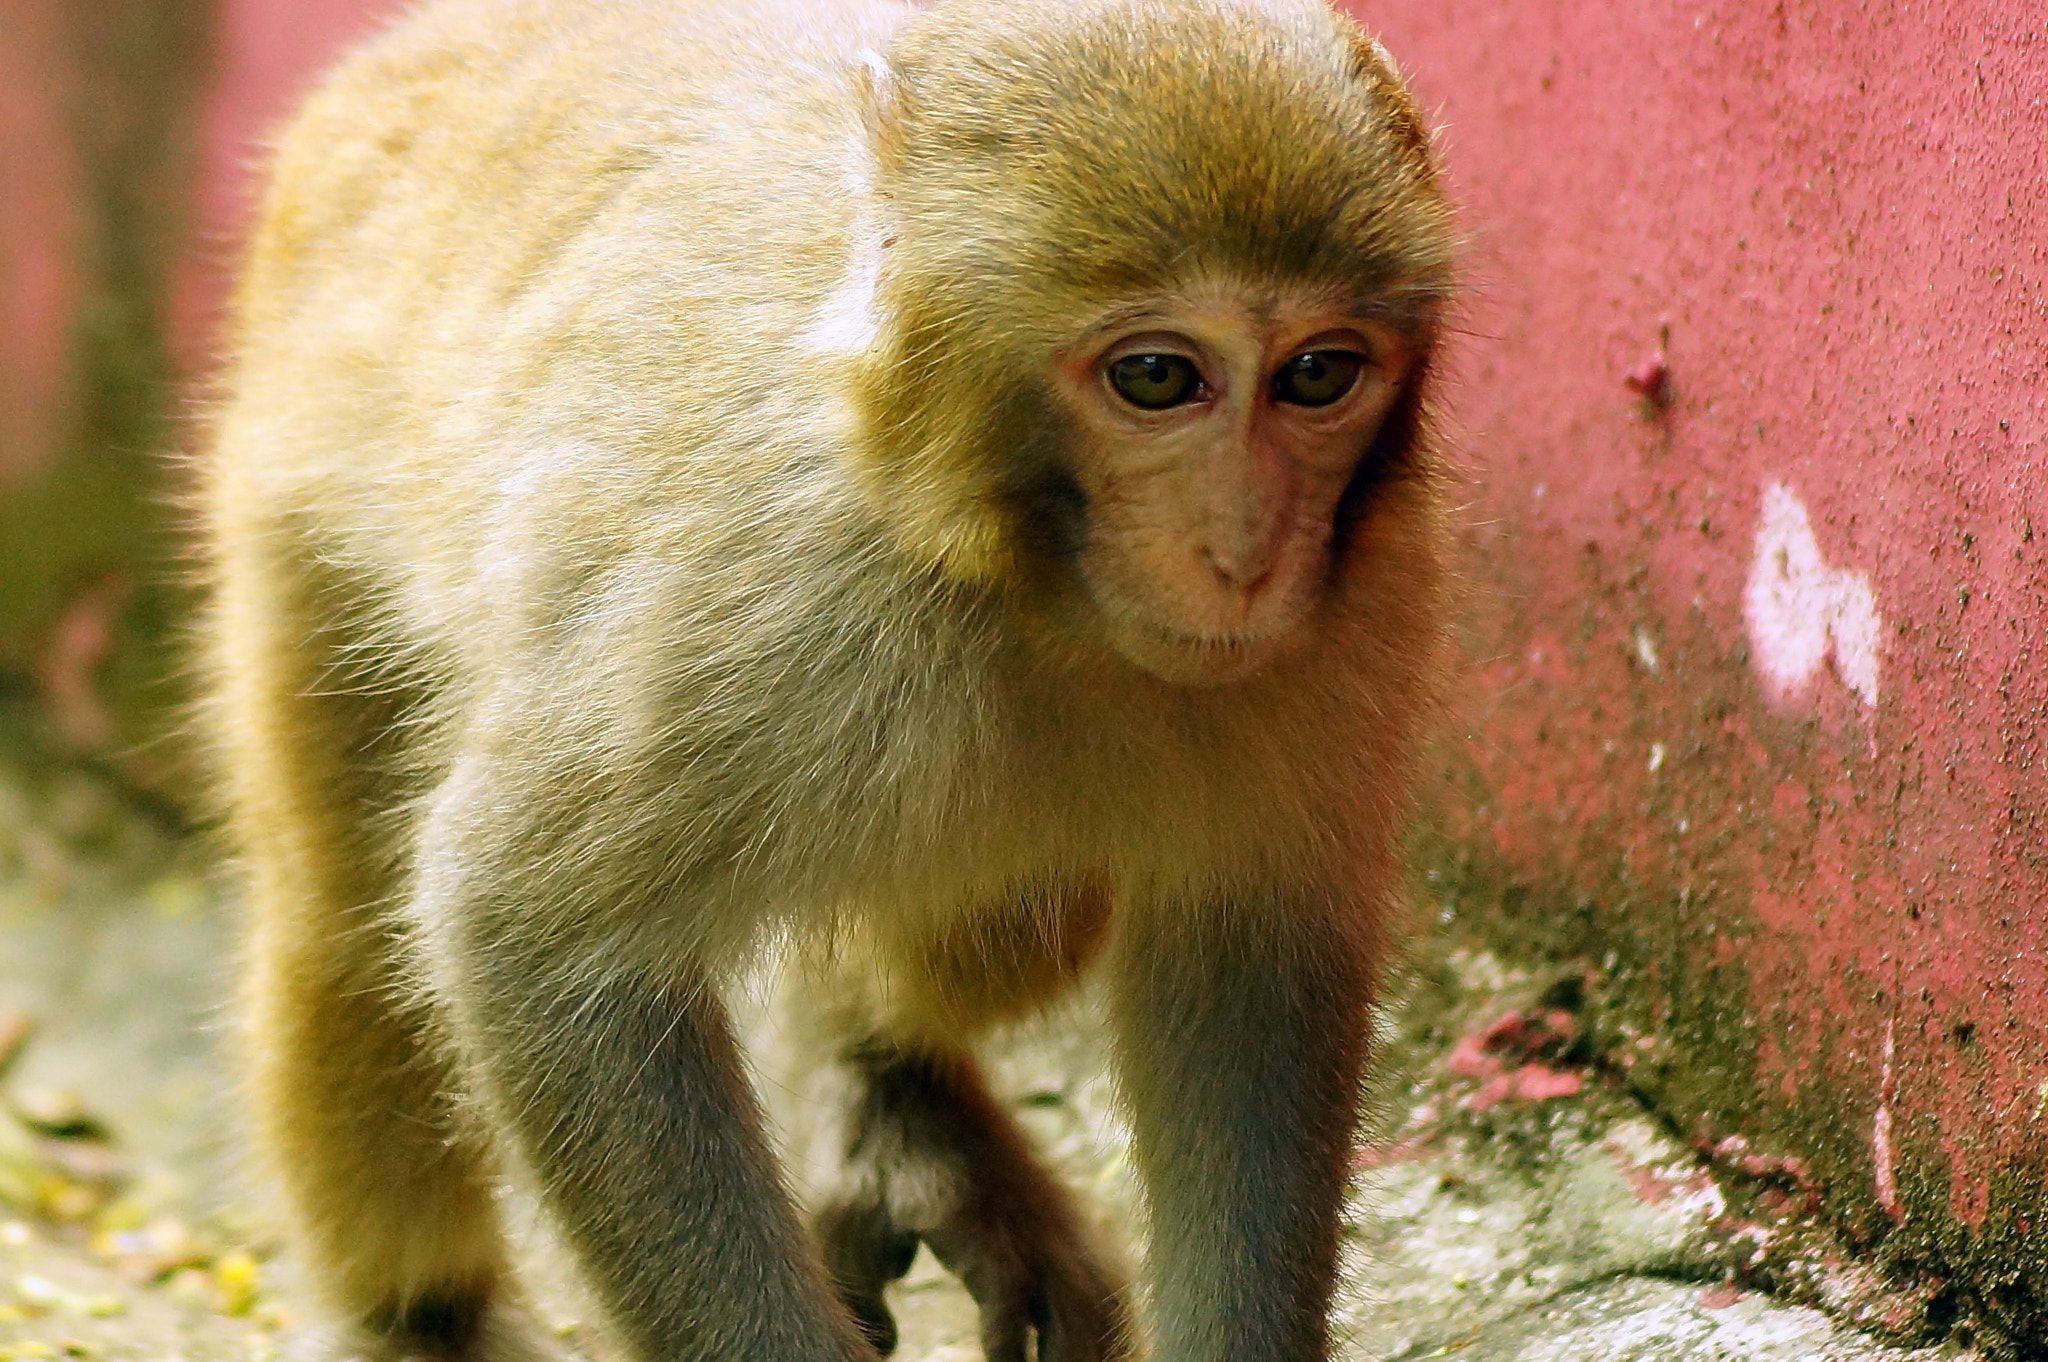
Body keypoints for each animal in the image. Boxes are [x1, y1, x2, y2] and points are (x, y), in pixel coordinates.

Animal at [199, 0, 1458, 1351]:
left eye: (1317, 374)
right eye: (1157, 376)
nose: (1245, 555)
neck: (1009, 571)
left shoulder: (1362, 615)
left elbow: (1249, 984)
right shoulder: (758, 605)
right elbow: (523, 936)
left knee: (1023, 908)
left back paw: (884, 1091)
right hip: (294, 509)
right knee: (340, 909)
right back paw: (419, 1311)